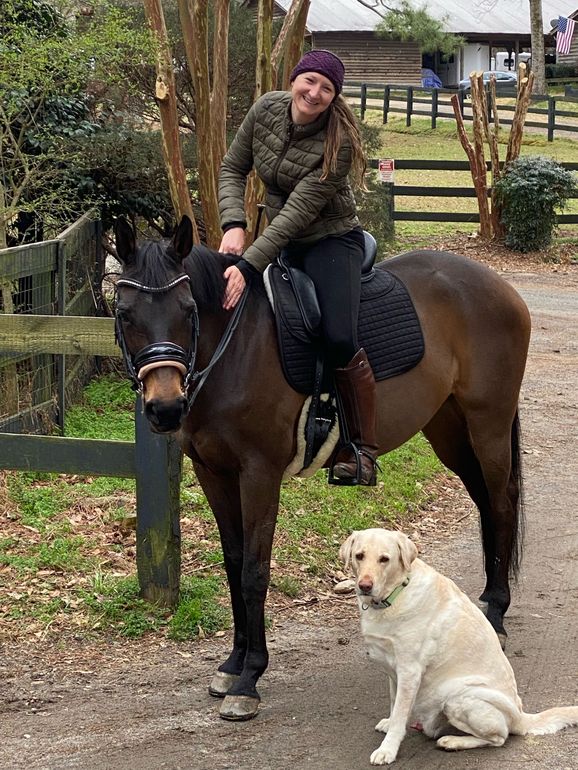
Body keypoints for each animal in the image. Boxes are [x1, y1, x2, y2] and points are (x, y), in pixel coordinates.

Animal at [113, 214, 532, 720]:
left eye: (189, 309)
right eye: (125, 313)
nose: (165, 408)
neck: (234, 347)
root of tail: (498, 285)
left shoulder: (259, 473)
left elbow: (254, 570)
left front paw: (250, 678)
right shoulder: (213, 473)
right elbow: (233, 562)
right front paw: (233, 663)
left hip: (488, 424)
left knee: (502, 504)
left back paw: (497, 614)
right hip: (449, 430)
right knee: (486, 504)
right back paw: (489, 601)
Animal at [338, 528, 576, 760]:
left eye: (384, 559)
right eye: (359, 556)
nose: (365, 586)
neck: (395, 593)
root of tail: (521, 717)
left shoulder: (409, 671)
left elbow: (399, 714)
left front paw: (387, 750)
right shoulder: (393, 670)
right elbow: (394, 703)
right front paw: (389, 724)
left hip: (458, 697)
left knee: (500, 737)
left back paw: (453, 742)